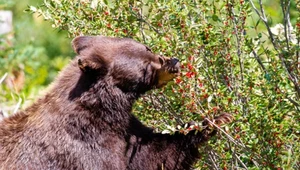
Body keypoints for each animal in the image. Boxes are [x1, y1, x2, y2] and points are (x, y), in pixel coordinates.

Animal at [0, 36, 232, 170]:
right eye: (145, 65)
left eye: (147, 47)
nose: (173, 61)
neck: (104, 113)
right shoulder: (84, 147)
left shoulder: (126, 131)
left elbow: (159, 152)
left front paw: (216, 119)